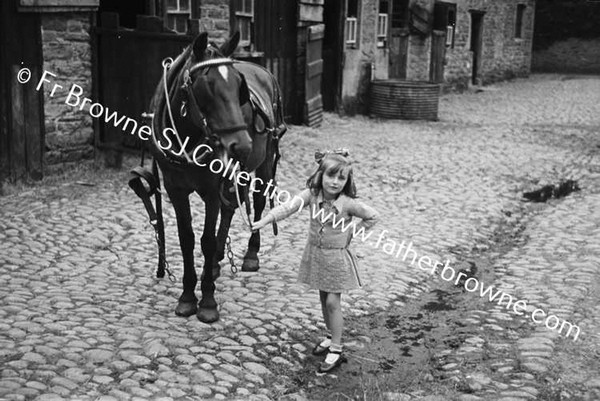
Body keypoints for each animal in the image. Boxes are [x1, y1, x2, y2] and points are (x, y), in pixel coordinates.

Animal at [136, 32, 286, 322]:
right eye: (206, 85)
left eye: (239, 86)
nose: (242, 145)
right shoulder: (175, 188)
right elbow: (186, 239)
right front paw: (186, 296)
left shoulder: (210, 189)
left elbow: (204, 240)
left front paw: (207, 301)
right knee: (230, 208)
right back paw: (216, 261)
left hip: (264, 161)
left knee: (258, 203)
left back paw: (250, 253)